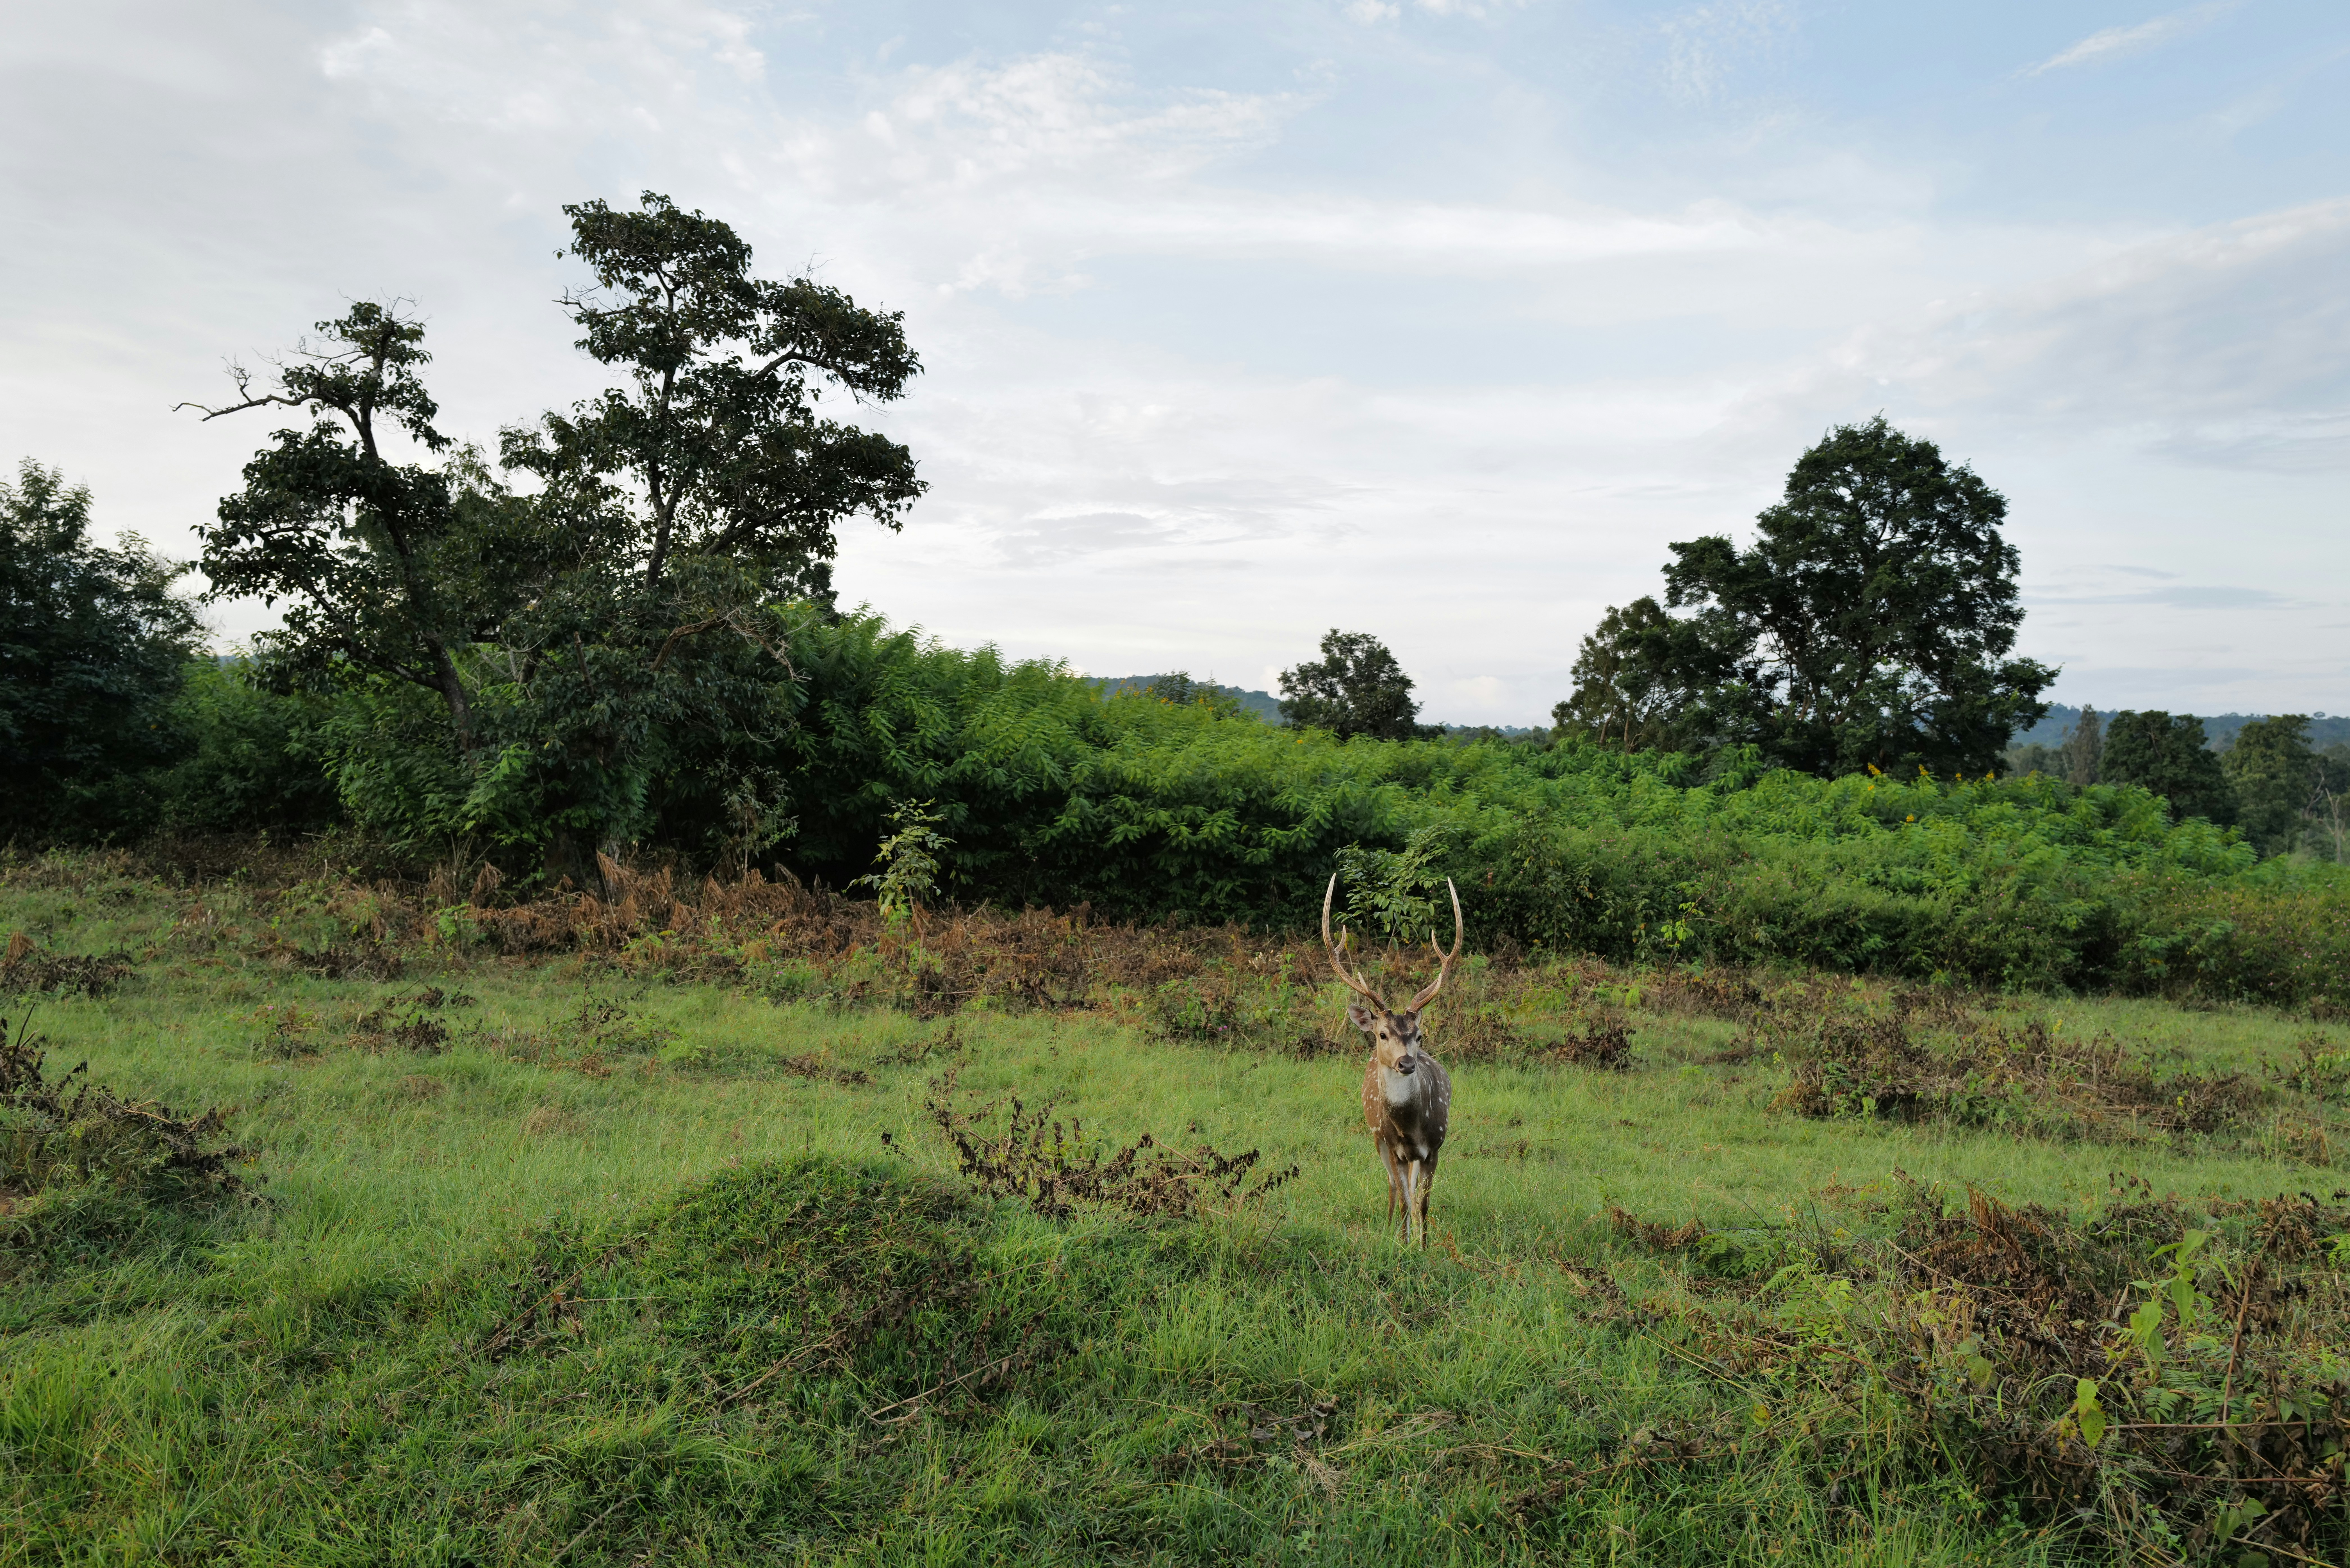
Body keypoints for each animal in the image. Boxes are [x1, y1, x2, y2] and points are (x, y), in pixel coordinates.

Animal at [1322, 872, 1460, 1247]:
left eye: (1419, 1035)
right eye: (1383, 1034)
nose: (1406, 1064)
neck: (1410, 1128)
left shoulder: (1435, 1147)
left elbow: (1423, 1204)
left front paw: (1424, 1247)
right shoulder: (1393, 1147)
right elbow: (1404, 1201)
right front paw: (1401, 1246)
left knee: (1409, 1193)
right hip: (1376, 1139)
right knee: (1392, 1189)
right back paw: (1389, 1228)